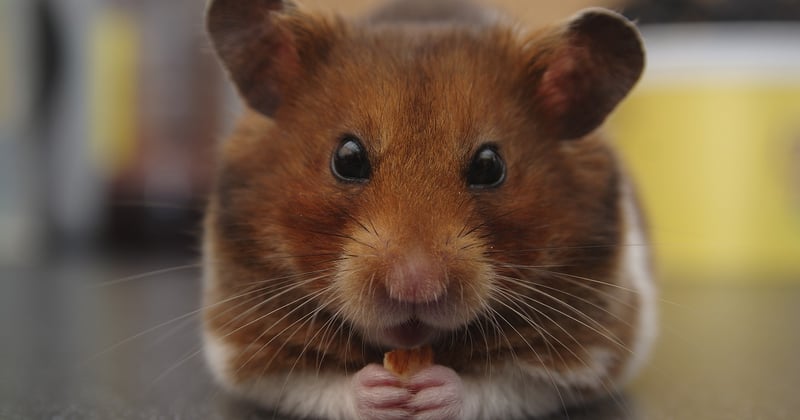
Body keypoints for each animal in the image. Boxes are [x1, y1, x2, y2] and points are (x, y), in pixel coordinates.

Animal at [201, 0, 657, 419]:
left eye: (490, 166)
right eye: (347, 158)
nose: (414, 287)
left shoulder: (590, 352)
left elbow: (500, 384)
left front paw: (432, 391)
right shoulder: (242, 346)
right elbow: (316, 383)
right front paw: (380, 391)